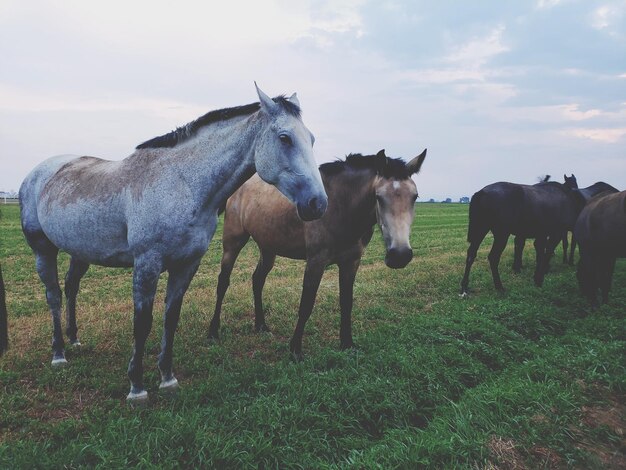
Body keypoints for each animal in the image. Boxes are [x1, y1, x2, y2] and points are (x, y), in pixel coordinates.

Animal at [207, 149, 426, 358]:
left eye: (414, 196)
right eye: (378, 197)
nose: (400, 255)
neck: (340, 206)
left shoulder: (351, 262)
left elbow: (346, 302)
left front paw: (347, 344)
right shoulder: (316, 261)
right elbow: (306, 304)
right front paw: (295, 350)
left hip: (268, 248)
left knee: (257, 280)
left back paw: (261, 325)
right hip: (233, 243)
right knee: (223, 282)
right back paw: (213, 331)